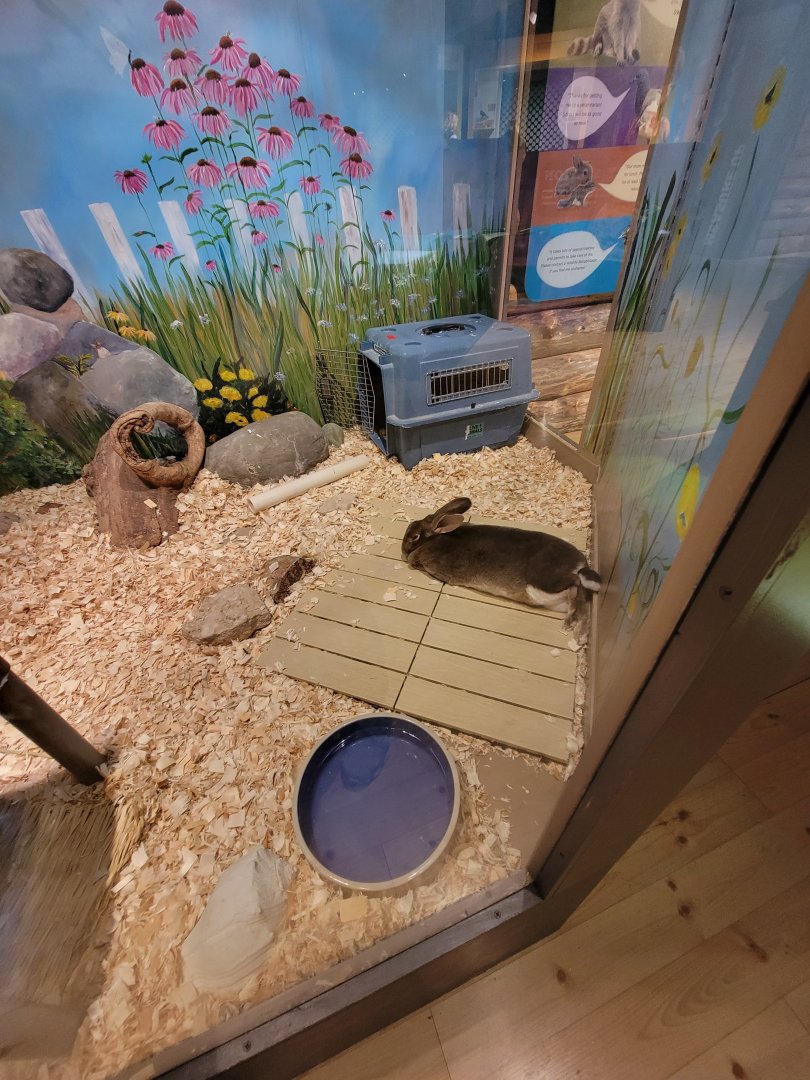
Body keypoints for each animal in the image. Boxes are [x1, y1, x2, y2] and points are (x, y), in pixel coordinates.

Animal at [401, 498, 601, 633]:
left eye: (415, 537)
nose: (403, 551)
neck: (435, 539)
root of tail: (580, 563)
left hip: (544, 581)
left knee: (576, 583)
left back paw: (571, 626)